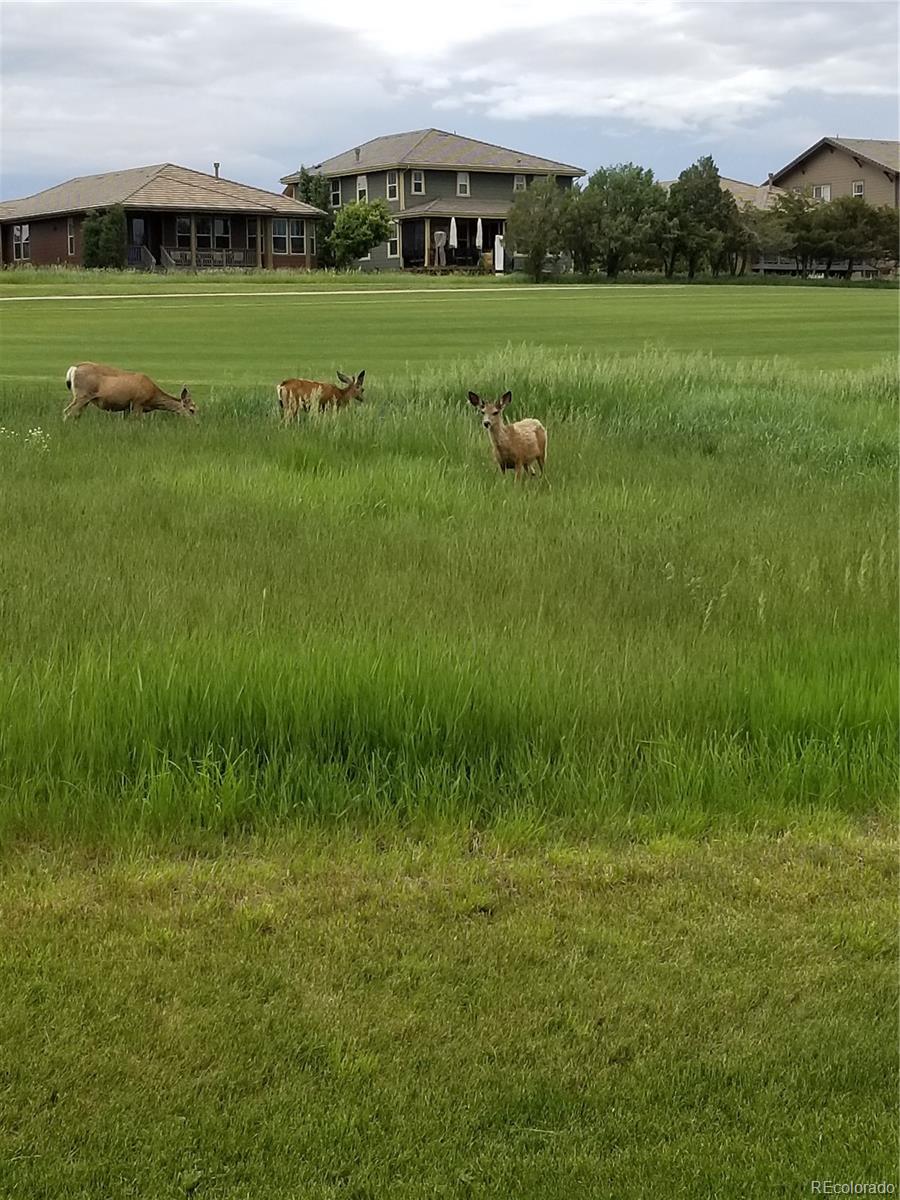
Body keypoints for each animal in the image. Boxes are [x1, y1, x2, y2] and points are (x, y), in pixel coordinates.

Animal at [64, 363, 195, 420]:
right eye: (192, 410)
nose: (197, 424)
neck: (153, 397)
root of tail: (74, 368)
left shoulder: (126, 406)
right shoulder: (138, 403)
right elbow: (138, 421)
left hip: (85, 399)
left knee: (75, 414)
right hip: (82, 395)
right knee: (68, 412)